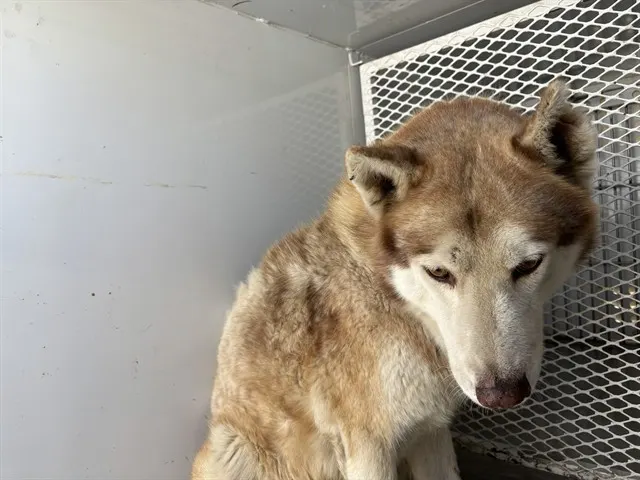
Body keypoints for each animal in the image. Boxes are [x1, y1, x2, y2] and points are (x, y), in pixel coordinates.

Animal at [191, 80, 599, 480]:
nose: (502, 394)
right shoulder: (368, 448)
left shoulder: (431, 429)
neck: (397, 305)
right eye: (439, 273)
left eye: (529, 265)